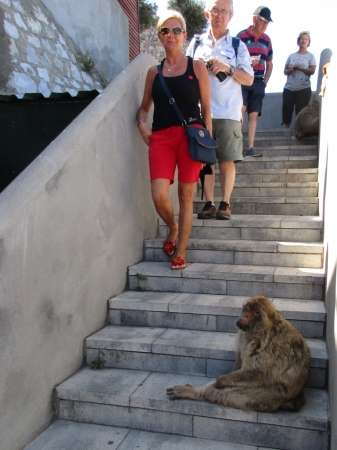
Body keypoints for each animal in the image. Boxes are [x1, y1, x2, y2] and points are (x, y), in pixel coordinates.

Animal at [165, 296, 310, 412]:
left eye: (256, 312)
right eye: (247, 309)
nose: (245, 316)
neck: (258, 330)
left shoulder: (270, 345)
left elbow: (259, 373)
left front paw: (220, 381)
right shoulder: (243, 334)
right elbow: (240, 359)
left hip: (269, 394)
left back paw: (192, 392)